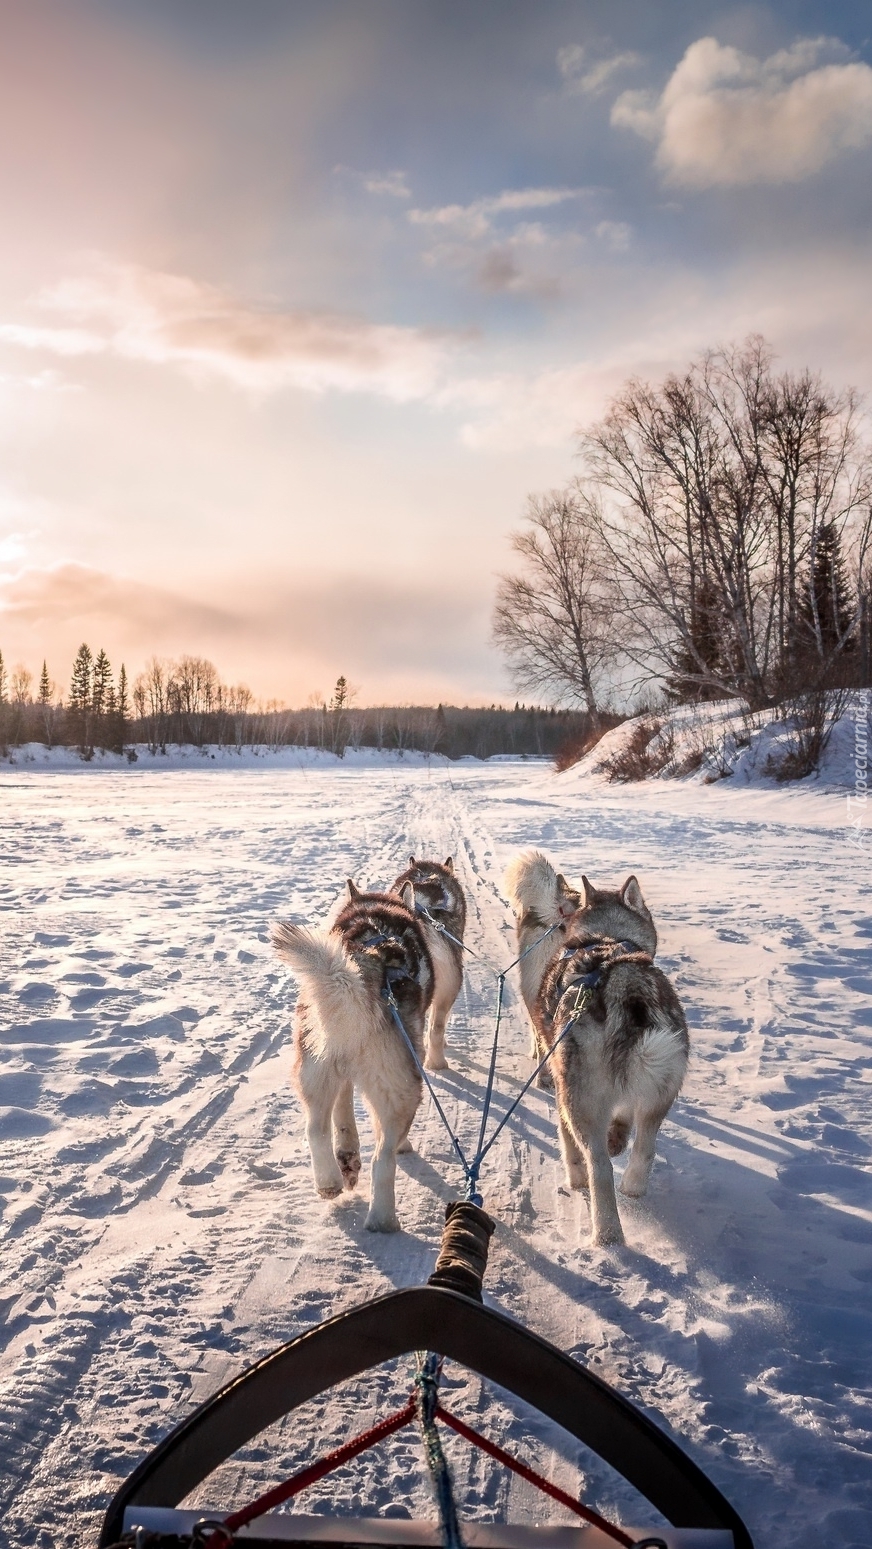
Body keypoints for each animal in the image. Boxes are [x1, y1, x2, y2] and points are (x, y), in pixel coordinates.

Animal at [272, 886, 433, 1233]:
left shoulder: (340, 1074)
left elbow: (343, 1115)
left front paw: (346, 1152)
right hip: (404, 1091)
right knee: (383, 1158)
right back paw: (383, 1219)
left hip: (315, 1071)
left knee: (316, 1129)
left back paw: (330, 1180)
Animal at [532, 886, 690, 1245]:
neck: (608, 937)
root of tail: (625, 982)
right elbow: (624, 1120)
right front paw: (618, 1137)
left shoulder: (561, 1087)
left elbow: (568, 1145)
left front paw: (575, 1177)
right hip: (661, 1091)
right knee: (644, 1148)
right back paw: (632, 1187)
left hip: (580, 1103)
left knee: (599, 1167)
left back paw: (607, 1233)